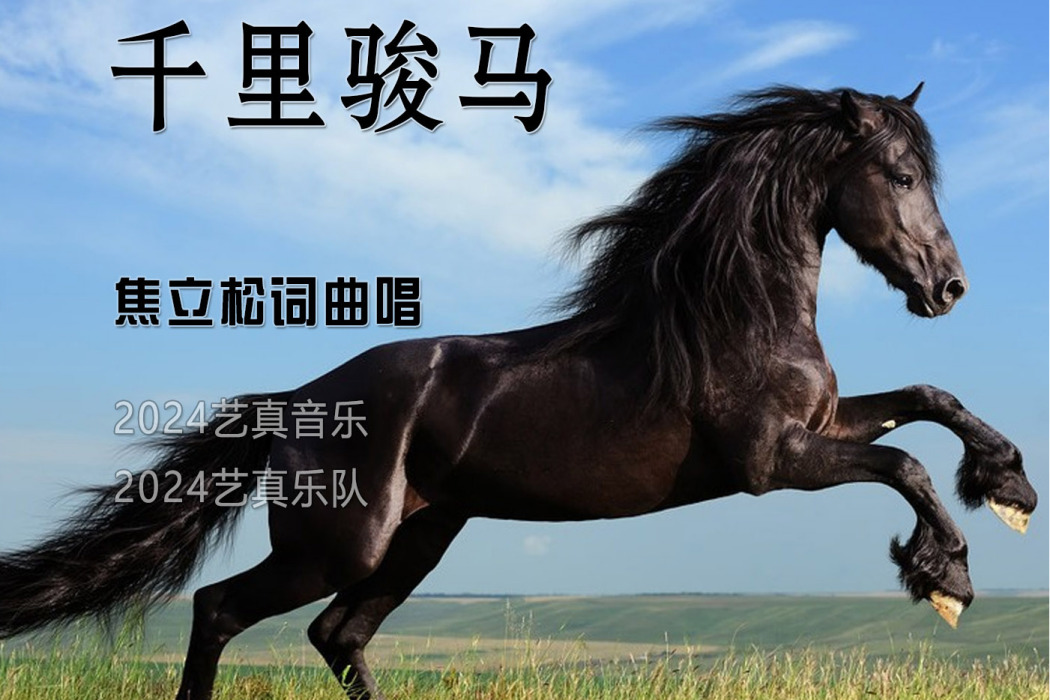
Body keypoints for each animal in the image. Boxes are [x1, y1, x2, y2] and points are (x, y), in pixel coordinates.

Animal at [0, 85, 1037, 700]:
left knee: (338, 633)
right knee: (223, 609)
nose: (949, 288)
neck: (729, 313)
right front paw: (945, 577)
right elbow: (902, 460)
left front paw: (1010, 488)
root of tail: (292, 400)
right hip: (338, 544)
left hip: (421, 535)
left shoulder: (820, 422)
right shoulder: (773, 459)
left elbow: (928, 397)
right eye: (900, 174)